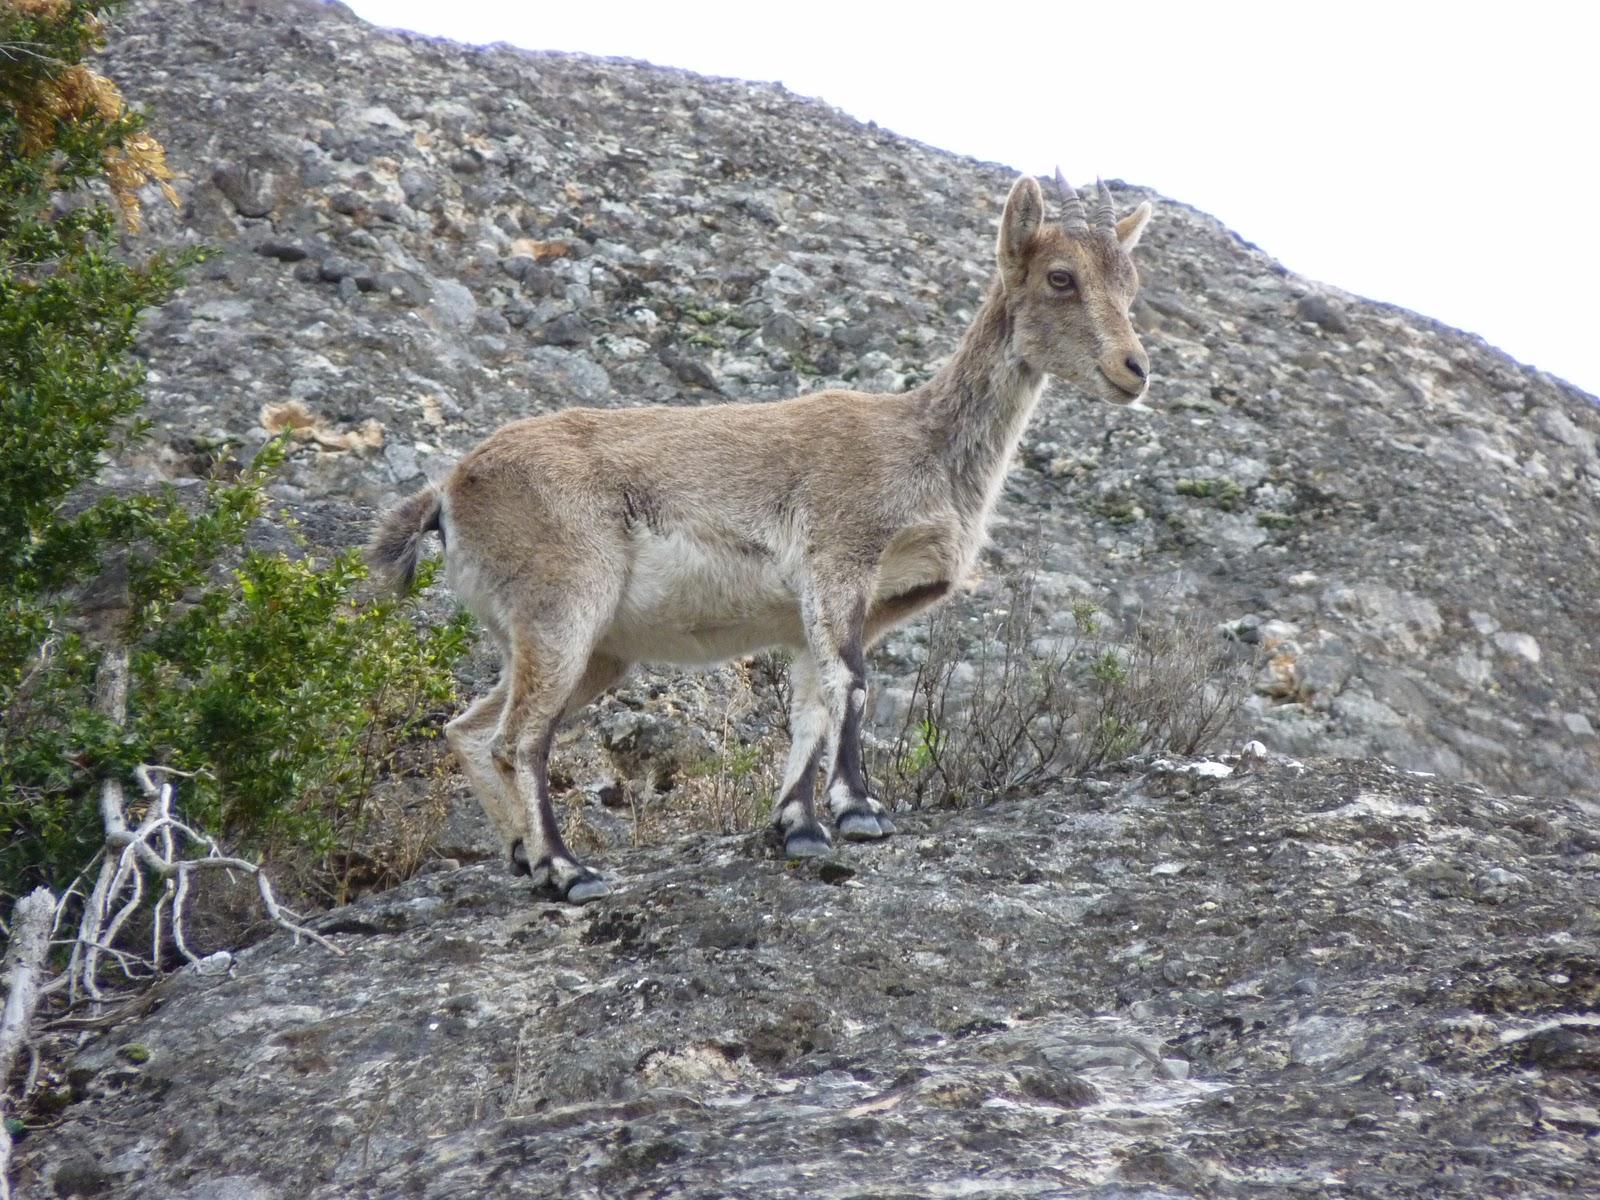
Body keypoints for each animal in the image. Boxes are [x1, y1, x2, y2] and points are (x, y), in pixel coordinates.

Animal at [374, 169, 1152, 902]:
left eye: (1131, 283)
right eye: (1060, 276)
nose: (1134, 370)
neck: (921, 447)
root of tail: (448, 493)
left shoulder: (831, 613)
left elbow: (811, 707)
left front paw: (799, 824)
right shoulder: (839, 559)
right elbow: (851, 686)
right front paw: (860, 810)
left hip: (586, 650)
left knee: (471, 730)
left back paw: (521, 857)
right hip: (563, 606)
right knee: (520, 740)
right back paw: (568, 870)